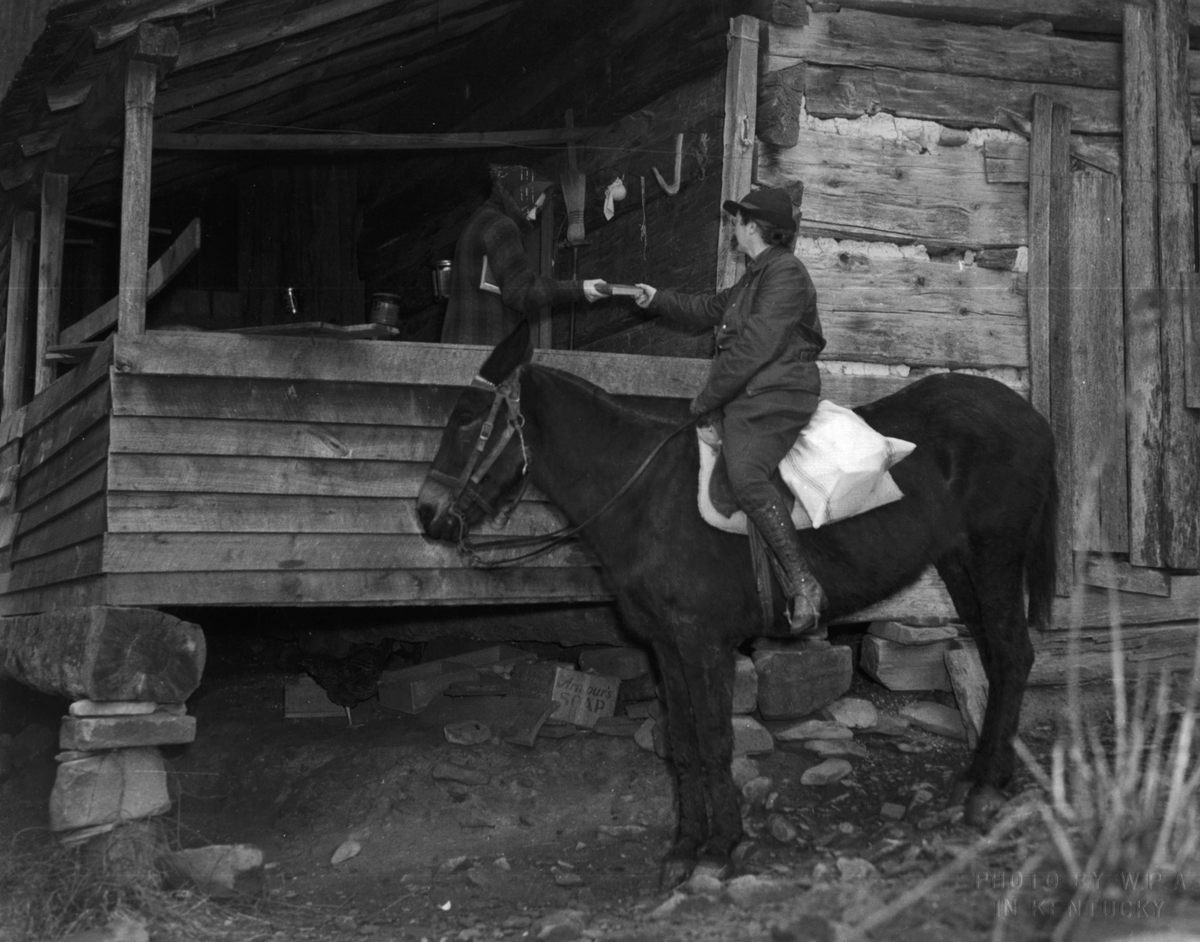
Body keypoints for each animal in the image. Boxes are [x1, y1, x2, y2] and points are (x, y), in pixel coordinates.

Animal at [417, 319, 1056, 888]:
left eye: (467, 418)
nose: (426, 513)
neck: (646, 498)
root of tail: (1027, 413)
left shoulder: (704, 643)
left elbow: (715, 738)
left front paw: (720, 848)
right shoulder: (667, 647)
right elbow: (683, 742)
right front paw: (684, 848)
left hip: (995, 552)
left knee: (1013, 655)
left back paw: (987, 790)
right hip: (959, 563)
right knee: (995, 658)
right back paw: (979, 777)